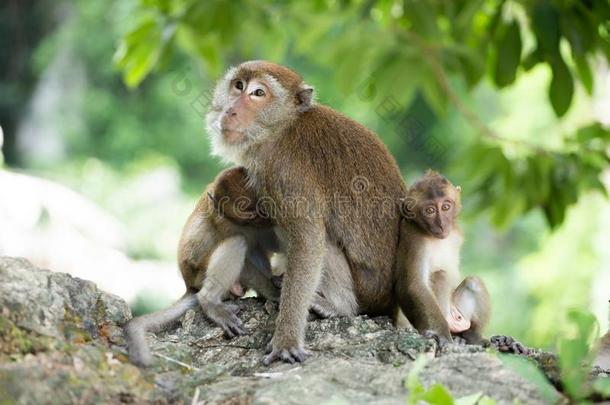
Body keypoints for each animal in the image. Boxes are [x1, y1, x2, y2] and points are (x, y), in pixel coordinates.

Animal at [205, 61, 408, 364]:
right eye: (238, 86)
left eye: (258, 93)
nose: (231, 110)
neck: (283, 128)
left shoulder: (286, 171)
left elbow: (308, 242)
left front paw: (286, 340)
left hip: (367, 292)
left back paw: (338, 306)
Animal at [394, 170, 490, 344]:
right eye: (430, 211)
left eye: (446, 207)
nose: (442, 224)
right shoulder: (414, 238)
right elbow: (414, 285)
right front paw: (441, 334)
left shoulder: (456, 233)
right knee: (440, 275)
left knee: (473, 283)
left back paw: (473, 336)